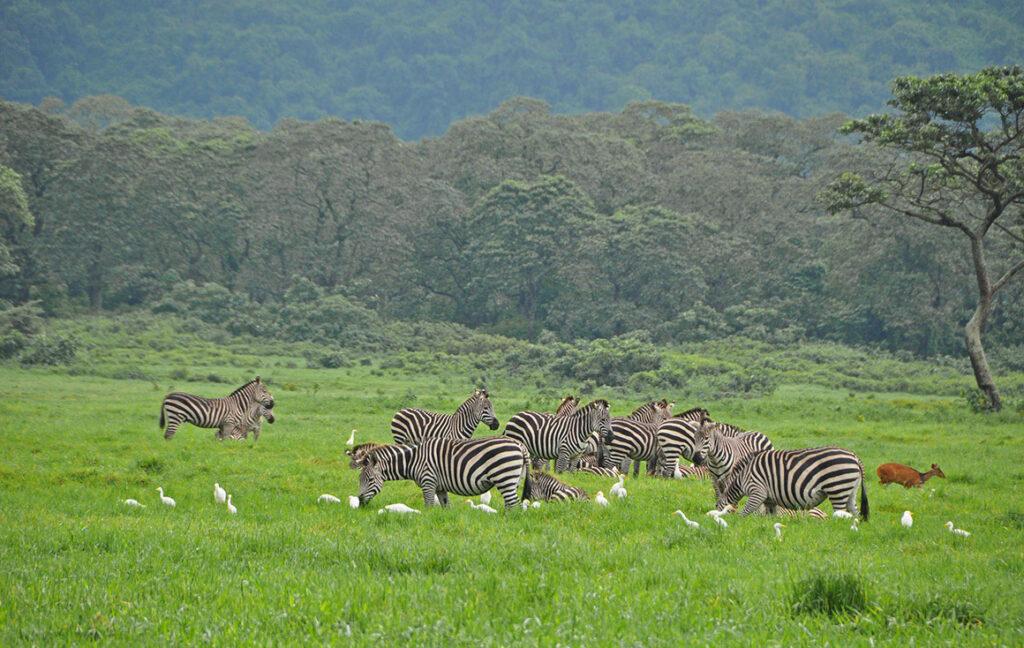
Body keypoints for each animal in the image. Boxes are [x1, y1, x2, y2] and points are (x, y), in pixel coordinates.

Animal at [350, 434, 532, 509]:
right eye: (359, 480)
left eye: (370, 480)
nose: (360, 502)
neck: (414, 460)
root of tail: (519, 444)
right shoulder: (440, 487)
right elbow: (446, 507)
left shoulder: (428, 482)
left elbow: (429, 506)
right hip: (513, 480)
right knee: (511, 504)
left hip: (505, 477)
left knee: (514, 504)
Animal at [716, 444, 868, 520]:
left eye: (716, 506)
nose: (713, 522)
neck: (743, 476)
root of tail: (854, 456)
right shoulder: (769, 499)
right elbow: (771, 518)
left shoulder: (757, 491)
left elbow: (744, 513)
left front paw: (737, 525)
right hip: (850, 490)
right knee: (855, 514)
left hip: (837, 488)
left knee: (841, 514)